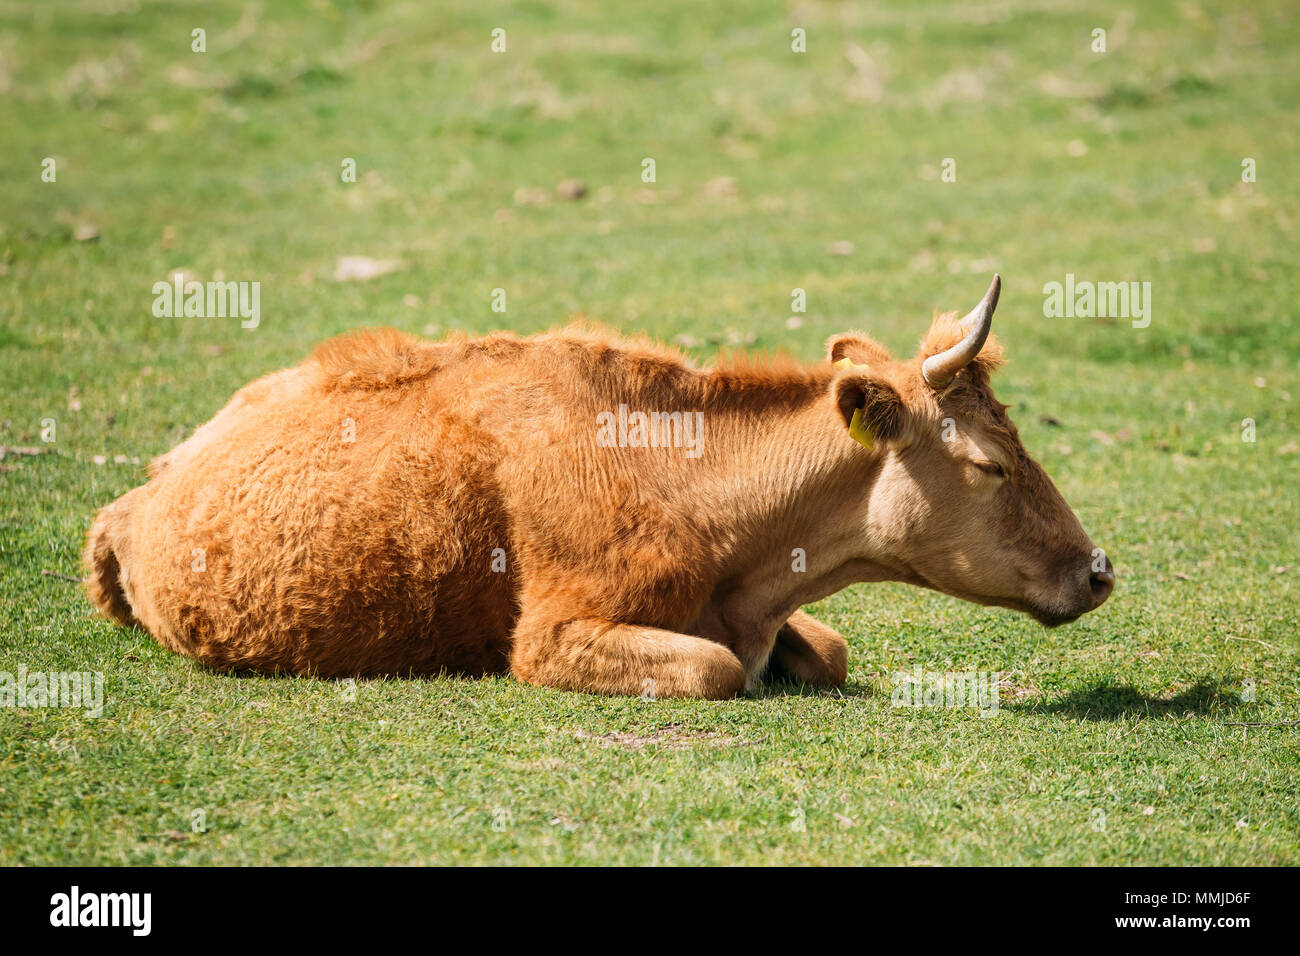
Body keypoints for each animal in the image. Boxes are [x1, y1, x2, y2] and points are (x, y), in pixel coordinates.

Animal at [84, 275, 1113, 698]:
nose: (1098, 569)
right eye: (989, 462)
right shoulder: (552, 635)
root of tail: (139, 496)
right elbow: (712, 671)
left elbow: (828, 650)